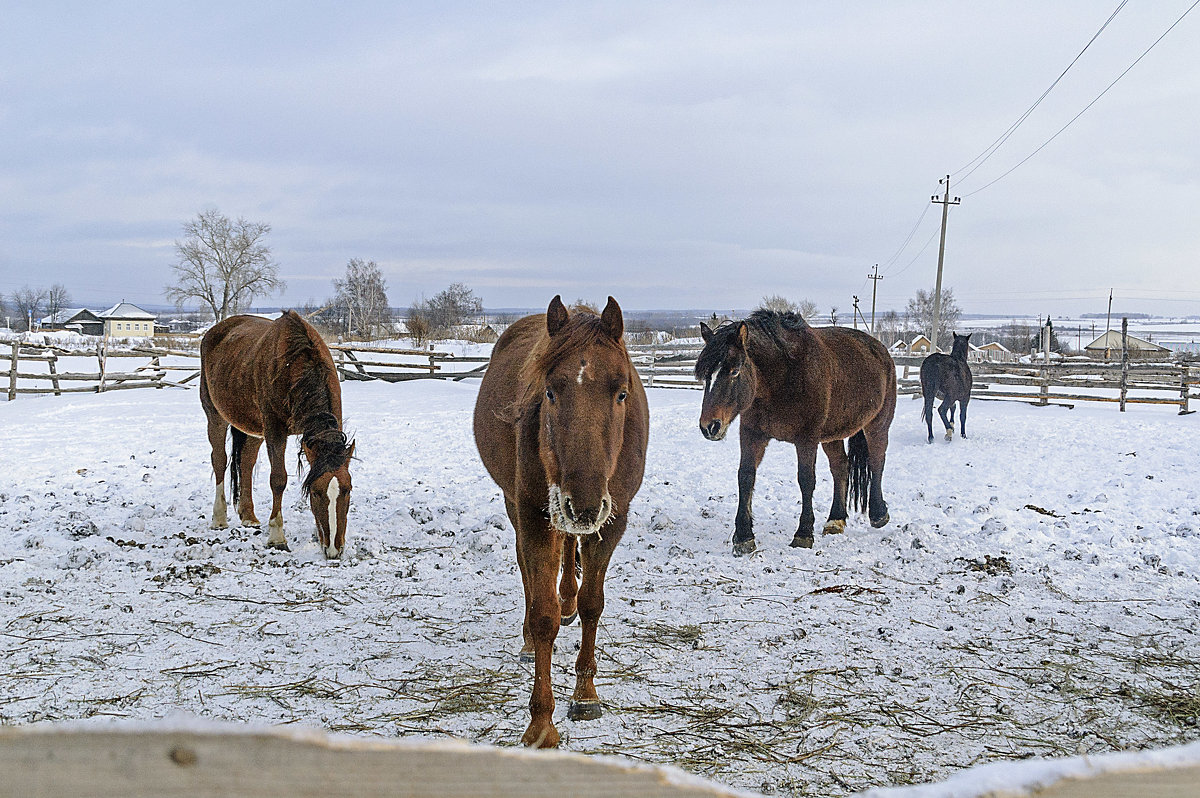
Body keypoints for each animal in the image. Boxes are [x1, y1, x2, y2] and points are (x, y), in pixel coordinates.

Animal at [196, 307, 352, 556]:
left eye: (347, 490)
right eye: (315, 492)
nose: (333, 550)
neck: (295, 365)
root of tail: (215, 331)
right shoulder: (274, 430)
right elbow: (278, 479)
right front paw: (277, 536)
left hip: (253, 426)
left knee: (246, 462)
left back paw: (248, 516)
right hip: (215, 414)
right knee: (219, 460)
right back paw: (219, 518)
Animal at [472, 294, 652, 748]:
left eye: (621, 393)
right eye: (550, 392)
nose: (584, 502)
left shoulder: (612, 520)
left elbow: (592, 603)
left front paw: (585, 693)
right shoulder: (535, 516)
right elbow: (543, 616)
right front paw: (541, 724)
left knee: (571, 553)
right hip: (523, 506)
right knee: (529, 570)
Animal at [696, 309, 892, 554]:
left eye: (734, 371)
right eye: (705, 375)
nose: (709, 426)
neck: (782, 378)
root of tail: (880, 349)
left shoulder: (807, 439)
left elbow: (806, 480)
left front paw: (803, 534)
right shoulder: (752, 434)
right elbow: (745, 476)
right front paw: (744, 536)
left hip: (877, 425)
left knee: (877, 462)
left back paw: (878, 514)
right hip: (832, 435)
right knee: (840, 467)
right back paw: (835, 520)